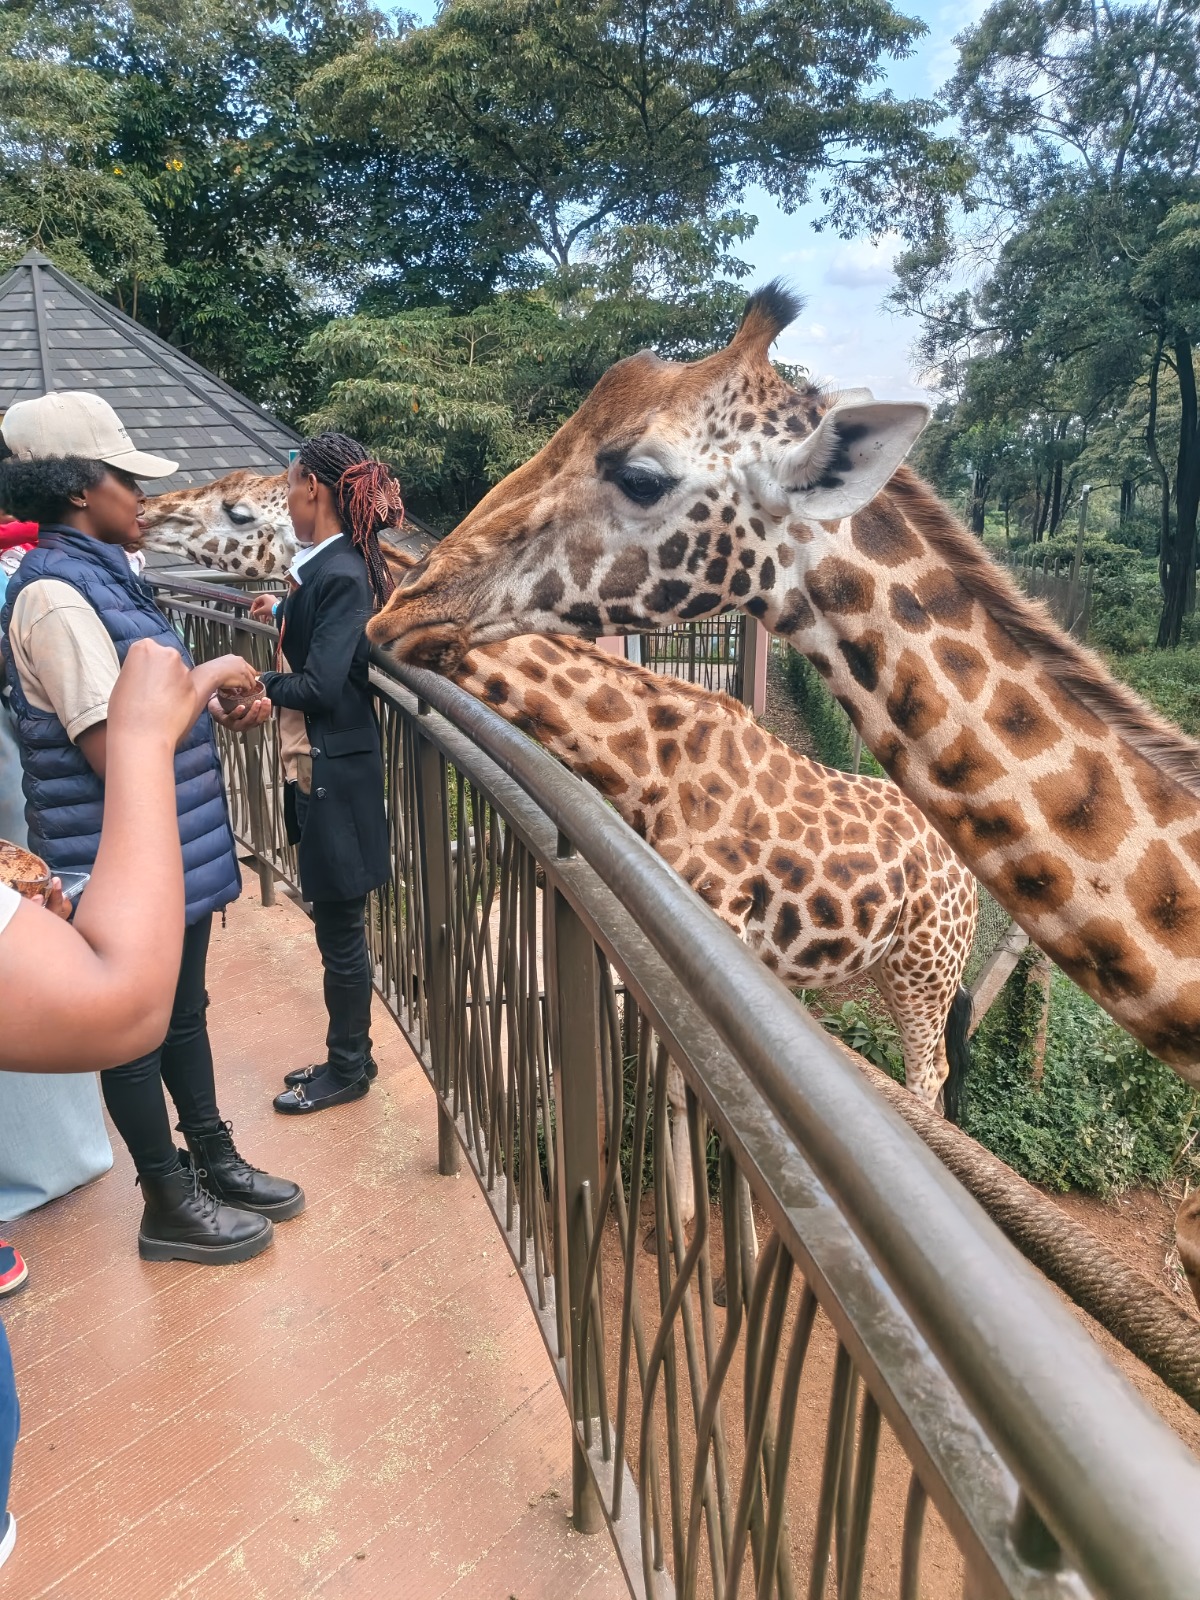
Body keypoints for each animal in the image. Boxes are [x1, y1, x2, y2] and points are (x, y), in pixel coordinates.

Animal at [367, 283, 1200, 1307]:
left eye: (640, 474)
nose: (408, 604)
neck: (646, 760)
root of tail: (959, 877)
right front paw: (704, 1250)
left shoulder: (720, 945)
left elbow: (706, 1110)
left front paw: (723, 1266)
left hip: (925, 971)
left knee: (928, 1075)